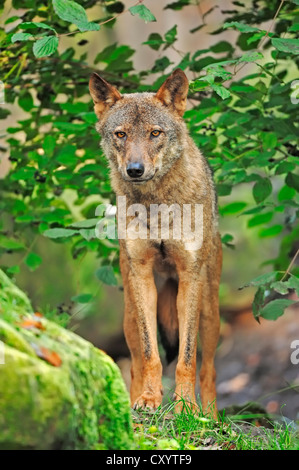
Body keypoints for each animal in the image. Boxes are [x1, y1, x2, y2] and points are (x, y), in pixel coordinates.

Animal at [89, 68, 223, 416]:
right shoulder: (141, 277)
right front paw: (149, 399)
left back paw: (212, 416)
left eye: (154, 133)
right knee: (136, 362)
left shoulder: (190, 277)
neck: (157, 204)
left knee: (209, 368)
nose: (135, 170)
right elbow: (151, 355)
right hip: (129, 314)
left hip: (209, 312)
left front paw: (186, 407)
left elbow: (187, 358)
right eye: (121, 134)